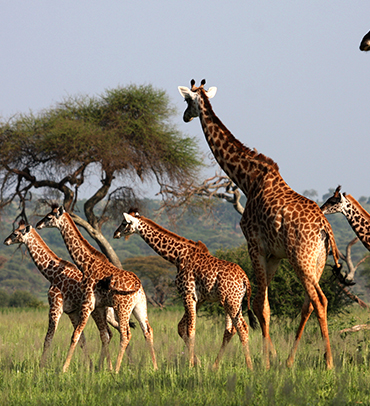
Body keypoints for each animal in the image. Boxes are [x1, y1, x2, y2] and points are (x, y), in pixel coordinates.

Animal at [3, 220, 117, 370]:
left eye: (15, 233)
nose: (5, 241)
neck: (53, 274)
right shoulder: (71, 311)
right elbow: (82, 340)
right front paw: (89, 366)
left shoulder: (55, 307)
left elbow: (48, 338)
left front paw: (41, 366)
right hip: (103, 311)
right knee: (110, 333)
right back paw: (106, 366)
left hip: (97, 310)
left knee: (107, 334)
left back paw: (109, 367)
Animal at [34, 206, 156, 374]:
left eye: (48, 217)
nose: (38, 224)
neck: (86, 263)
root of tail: (138, 286)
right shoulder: (98, 306)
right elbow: (102, 335)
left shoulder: (87, 304)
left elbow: (76, 335)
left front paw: (64, 369)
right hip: (139, 306)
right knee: (147, 330)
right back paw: (155, 367)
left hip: (122, 307)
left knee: (126, 334)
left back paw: (117, 370)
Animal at [112, 211, 258, 370]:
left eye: (124, 223)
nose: (115, 233)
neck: (177, 256)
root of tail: (245, 279)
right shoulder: (199, 299)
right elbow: (181, 327)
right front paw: (196, 362)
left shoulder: (187, 293)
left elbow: (190, 329)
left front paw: (190, 365)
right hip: (232, 302)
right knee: (231, 329)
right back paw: (215, 366)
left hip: (232, 301)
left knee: (242, 327)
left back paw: (250, 366)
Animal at [178, 78, 342, 368]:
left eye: (187, 101)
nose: (185, 116)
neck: (247, 179)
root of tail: (326, 229)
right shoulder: (274, 255)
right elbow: (263, 303)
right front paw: (272, 358)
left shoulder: (254, 244)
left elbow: (259, 306)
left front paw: (264, 363)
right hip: (318, 261)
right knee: (308, 304)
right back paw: (291, 361)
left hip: (301, 258)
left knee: (320, 301)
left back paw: (330, 363)